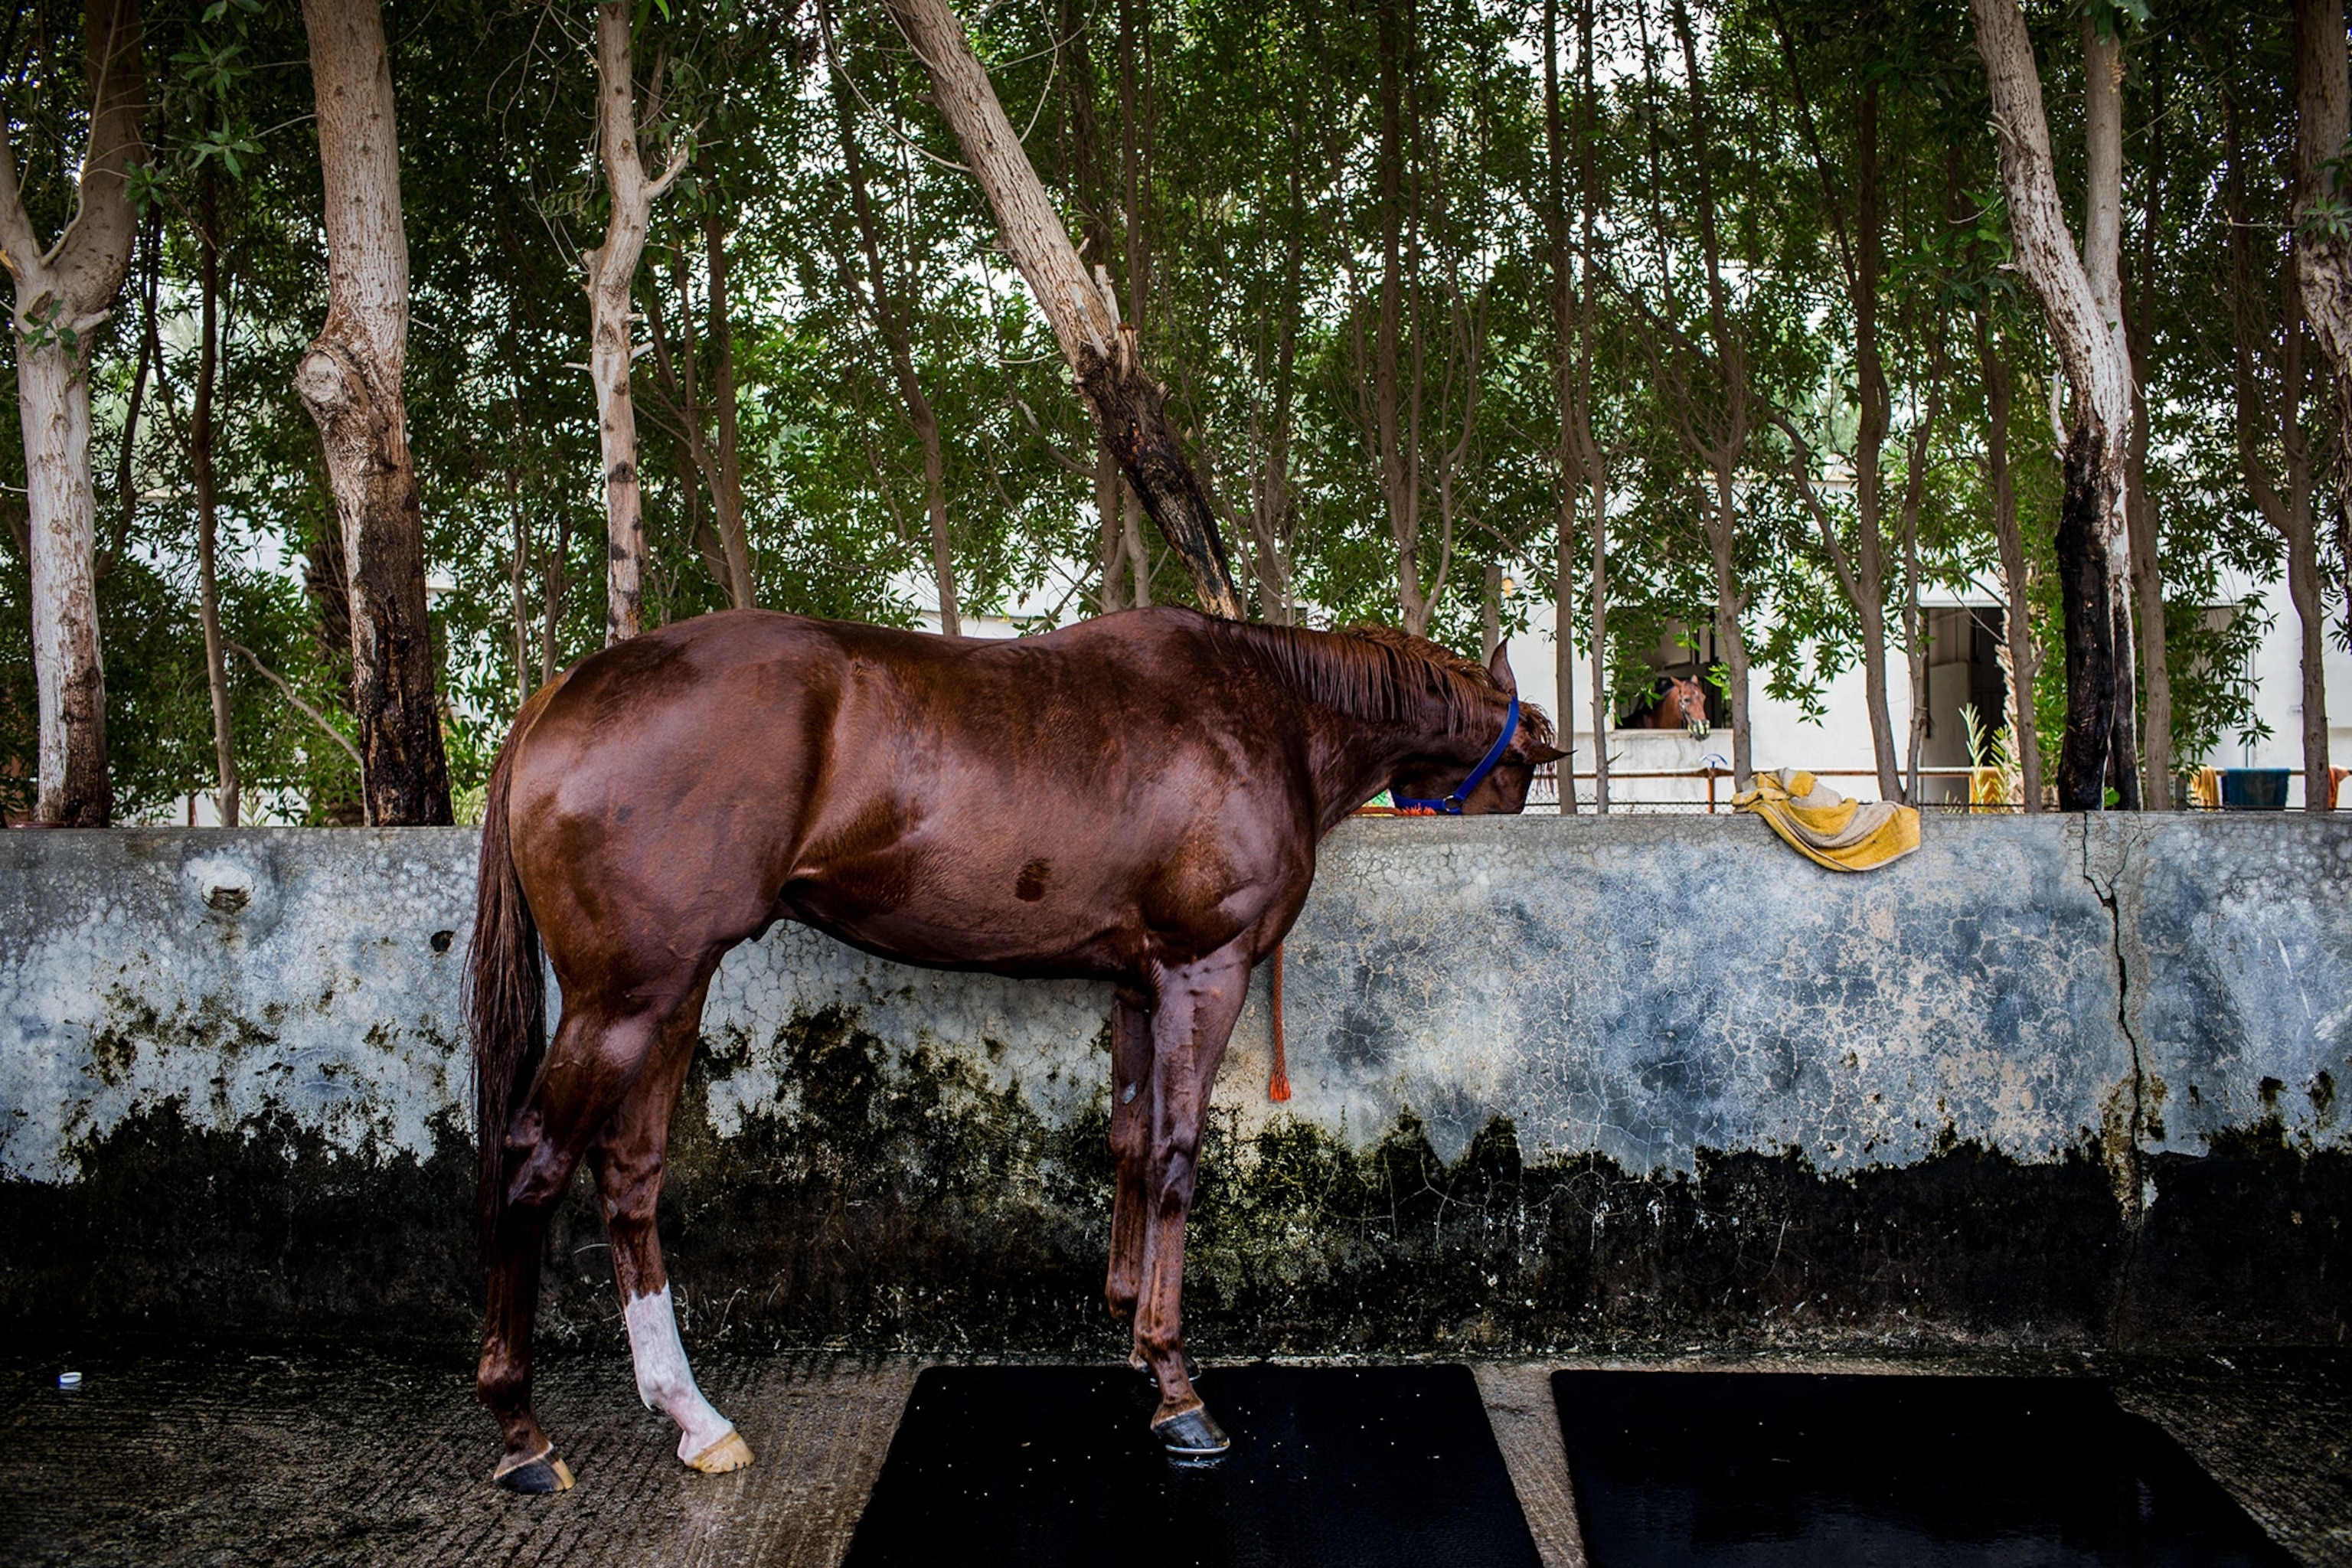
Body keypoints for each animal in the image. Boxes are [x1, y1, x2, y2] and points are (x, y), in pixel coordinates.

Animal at [466, 605, 1562, 1492]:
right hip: (626, 998)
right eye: (1519, 765)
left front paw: (1133, 1338)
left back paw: (694, 1417)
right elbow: (1175, 1158)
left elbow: (1129, 1144)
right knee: (532, 1161)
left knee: (629, 1176)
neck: (1272, 712)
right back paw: (522, 1431)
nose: (1512, 818)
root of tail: (562, 693)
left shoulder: (1138, 983)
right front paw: (1177, 1386)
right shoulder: (1202, 972)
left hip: (672, 993)